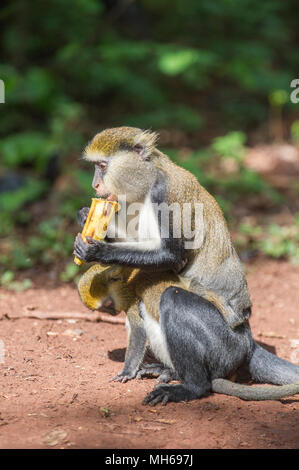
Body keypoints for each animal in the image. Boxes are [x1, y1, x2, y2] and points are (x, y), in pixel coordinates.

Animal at [74, 126, 252, 328]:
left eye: (102, 166)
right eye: (95, 166)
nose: (95, 184)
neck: (150, 176)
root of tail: (242, 312)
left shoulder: (161, 193)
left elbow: (171, 255)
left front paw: (96, 251)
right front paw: (85, 216)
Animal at [77, 264, 299, 404]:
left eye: (108, 306)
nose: (112, 313)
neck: (126, 278)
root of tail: (248, 342)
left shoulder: (130, 299)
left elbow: (138, 332)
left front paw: (126, 372)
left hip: (224, 345)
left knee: (171, 300)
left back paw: (188, 385)